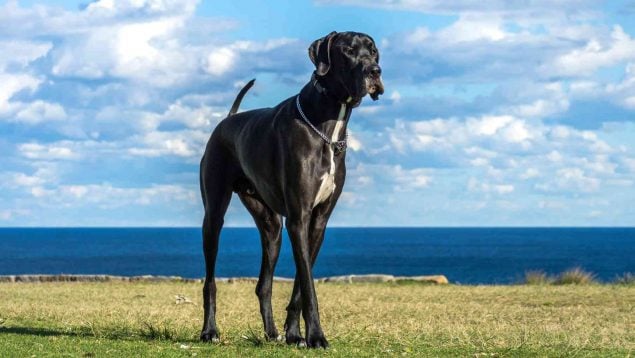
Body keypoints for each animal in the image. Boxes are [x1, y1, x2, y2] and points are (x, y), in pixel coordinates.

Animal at [199, 31, 386, 350]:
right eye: (348, 51)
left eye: (373, 51)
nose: (374, 71)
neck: (327, 126)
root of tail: (228, 119)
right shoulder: (299, 218)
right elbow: (309, 286)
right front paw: (316, 336)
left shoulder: (317, 221)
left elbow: (302, 282)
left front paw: (295, 334)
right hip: (213, 216)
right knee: (209, 281)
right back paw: (209, 331)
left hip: (271, 226)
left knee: (264, 284)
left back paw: (271, 333)